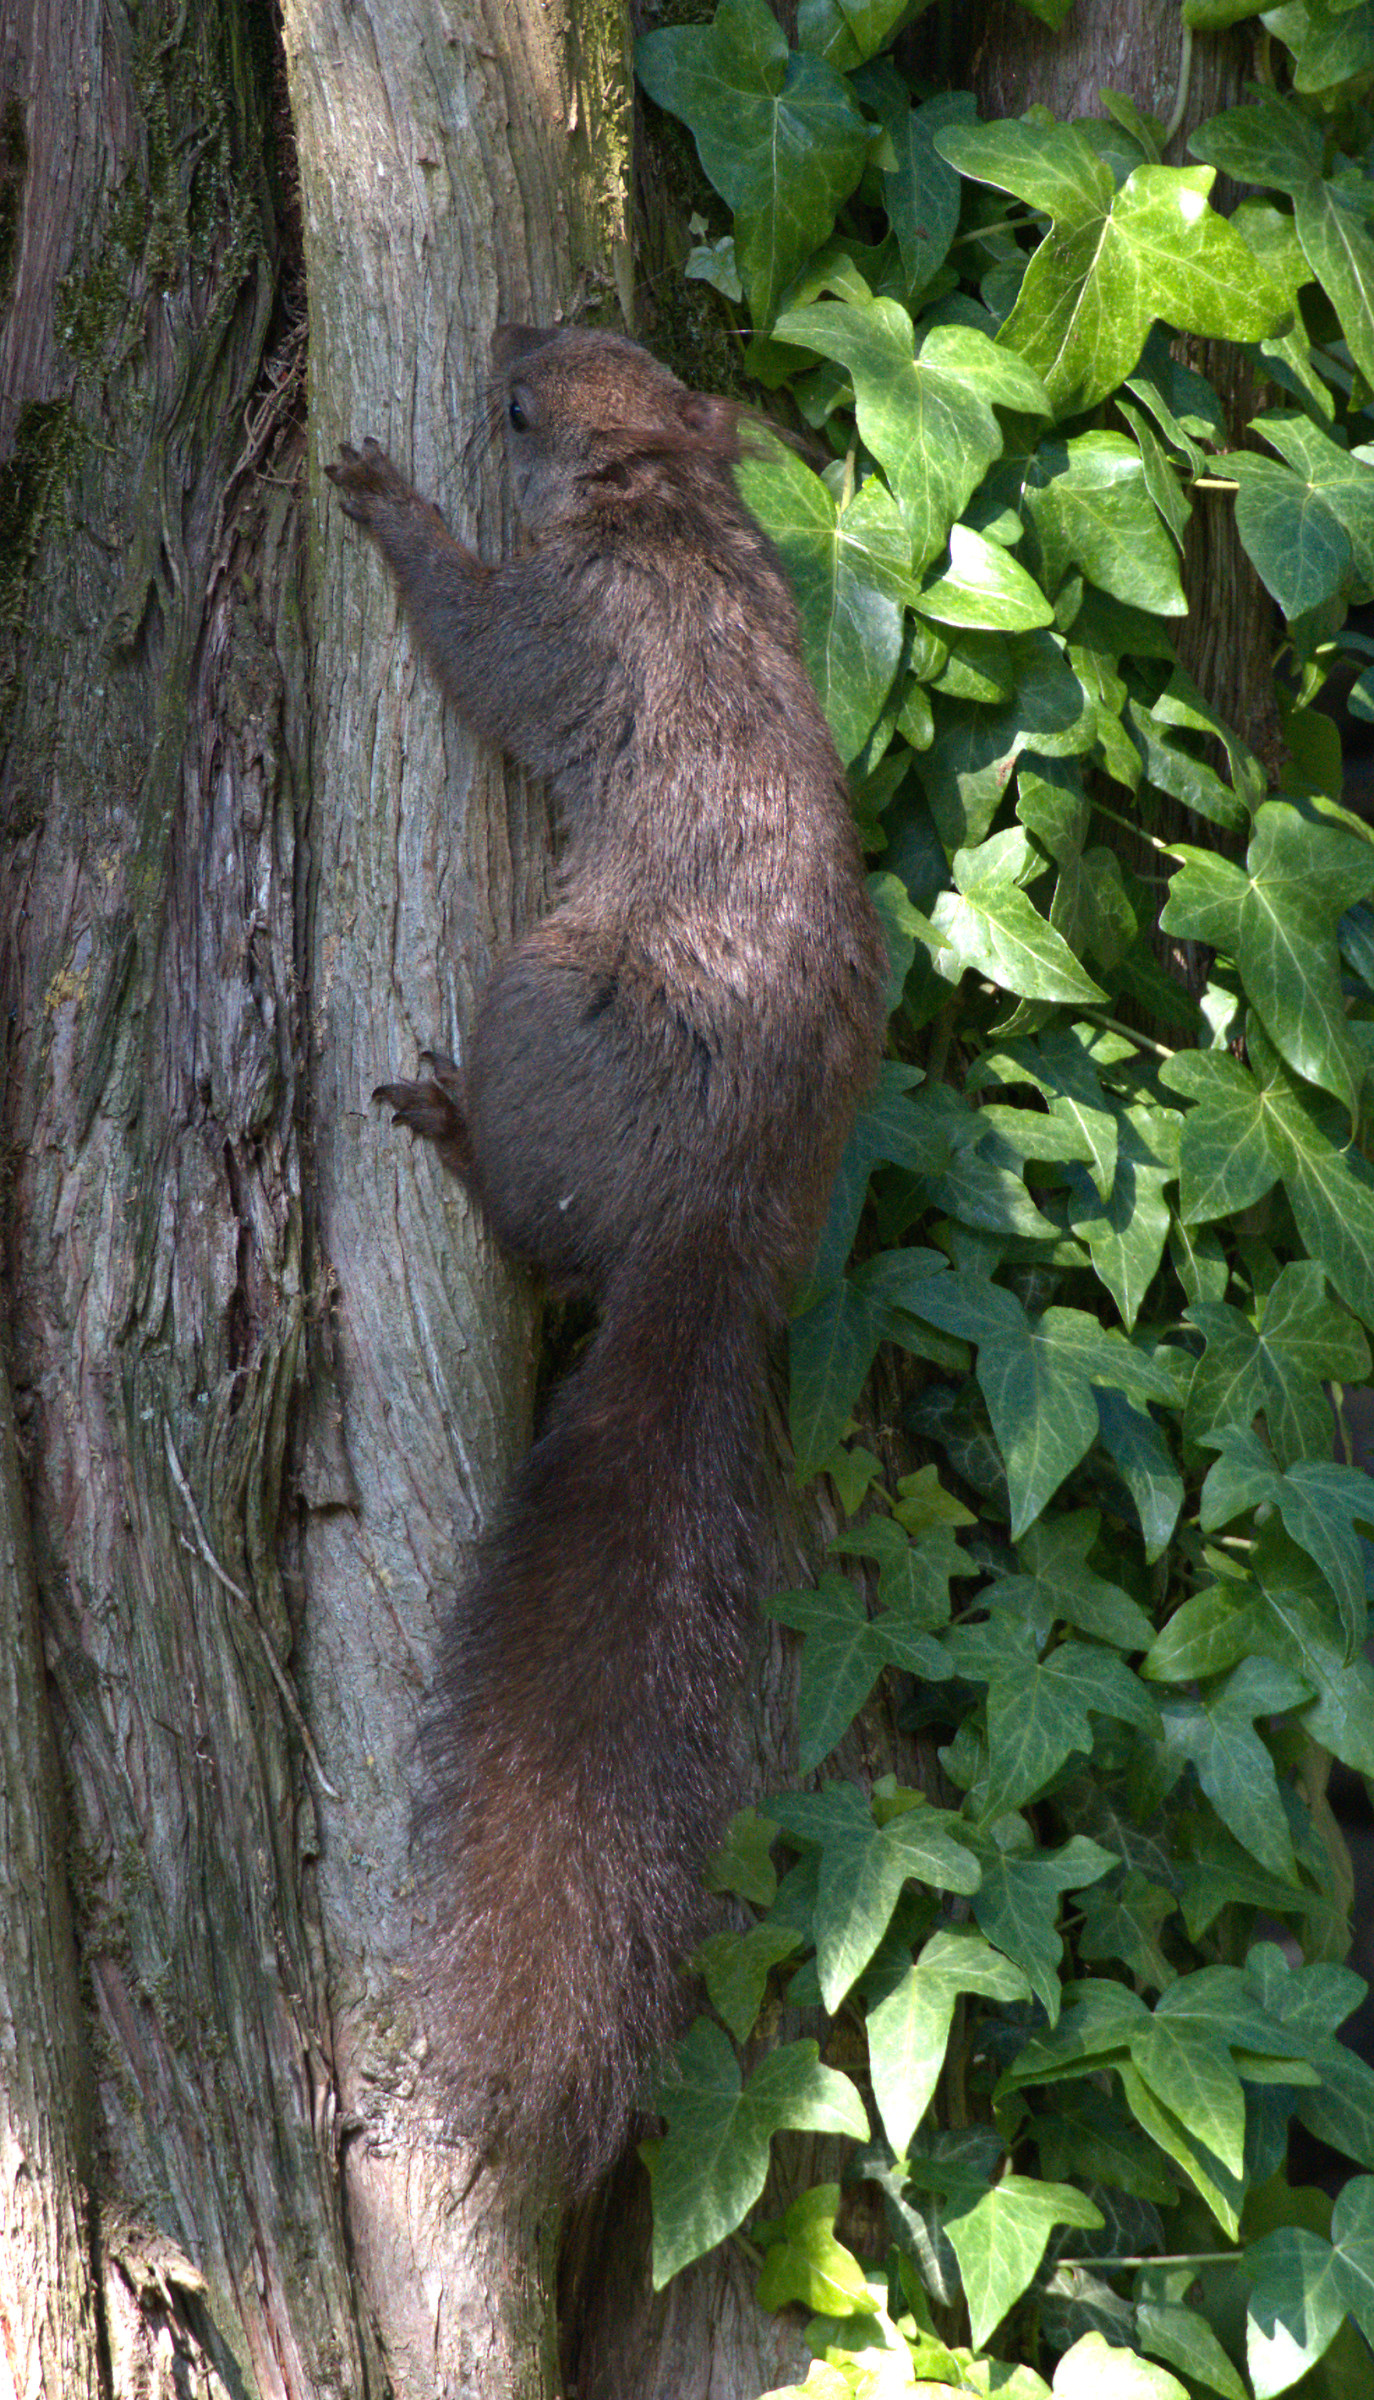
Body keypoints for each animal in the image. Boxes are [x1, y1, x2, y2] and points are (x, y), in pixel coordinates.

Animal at [327, 326, 887, 2193]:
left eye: (531, 401)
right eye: (599, 338)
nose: (508, 341)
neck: (678, 514)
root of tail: (717, 1227)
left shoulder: (571, 629)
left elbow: (479, 639)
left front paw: (387, 504)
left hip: (543, 1005)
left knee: (529, 1218)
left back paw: (450, 1128)